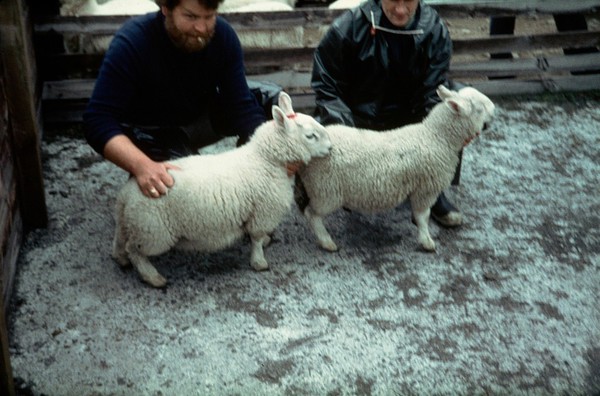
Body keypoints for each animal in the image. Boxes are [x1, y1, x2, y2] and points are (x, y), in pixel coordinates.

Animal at [110, 91, 330, 286]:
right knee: (135, 251)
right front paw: (259, 262)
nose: (330, 148)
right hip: (153, 230)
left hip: (134, 224)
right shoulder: (263, 213)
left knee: (121, 240)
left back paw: (120, 259)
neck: (265, 160)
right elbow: (257, 239)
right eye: (310, 136)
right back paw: (152, 277)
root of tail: (127, 195)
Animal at [298, 86, 494, 252]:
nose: (493, 109)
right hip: (326, 190)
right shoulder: (426, 188)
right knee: (311, 214)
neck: (436, 137)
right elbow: (423, 216)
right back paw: (327, 242)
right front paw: (426, 241)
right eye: (479, 109)